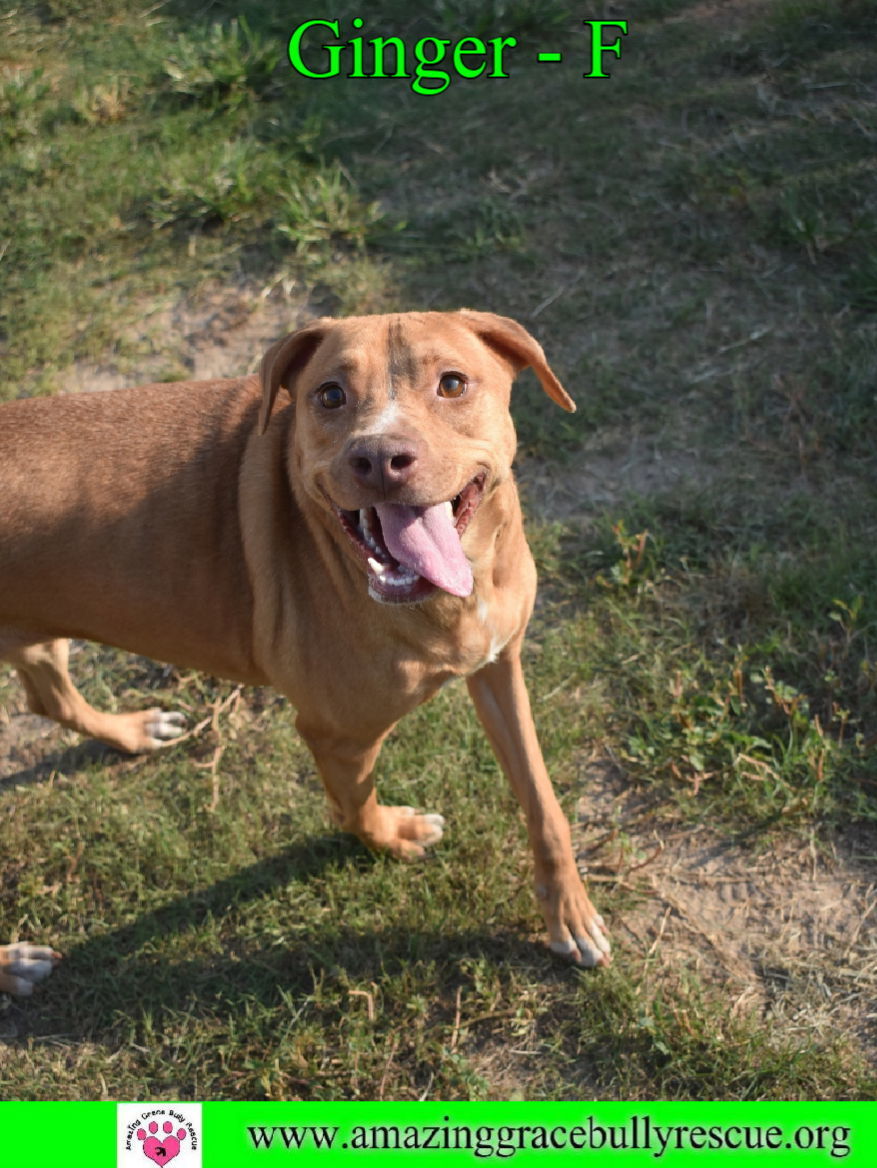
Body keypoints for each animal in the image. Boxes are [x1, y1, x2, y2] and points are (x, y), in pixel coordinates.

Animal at [1, 313, 611, 995]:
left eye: (452, 383)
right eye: (329, 395)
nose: (379, 458)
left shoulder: (500, 667)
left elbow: (543, 801)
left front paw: (569, 912)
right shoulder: (336, 734)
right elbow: (356, 809)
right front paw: (393, 837)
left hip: (39, 634)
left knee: (47, 697)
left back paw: (132, 732)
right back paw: (13, 964)